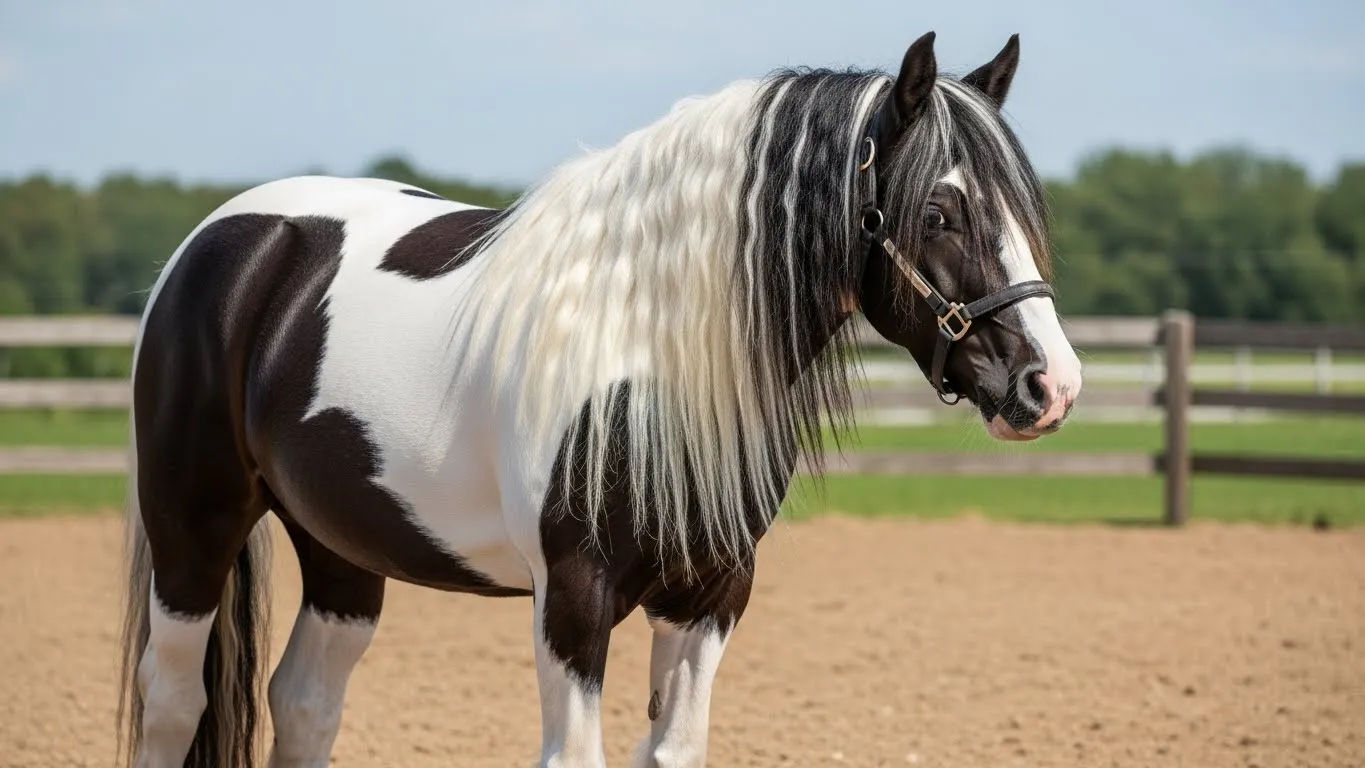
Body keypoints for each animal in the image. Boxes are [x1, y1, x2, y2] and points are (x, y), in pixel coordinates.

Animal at [117, 31, 1082, 768]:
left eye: (1021, 209)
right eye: (939, 213)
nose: (1049, 386)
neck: (645, 354)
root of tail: (231, 237)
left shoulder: (710, 597)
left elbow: (675, 750)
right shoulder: (572, 599)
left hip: (342, 550)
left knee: (306, 703)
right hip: (192, 530)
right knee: (173, 701)